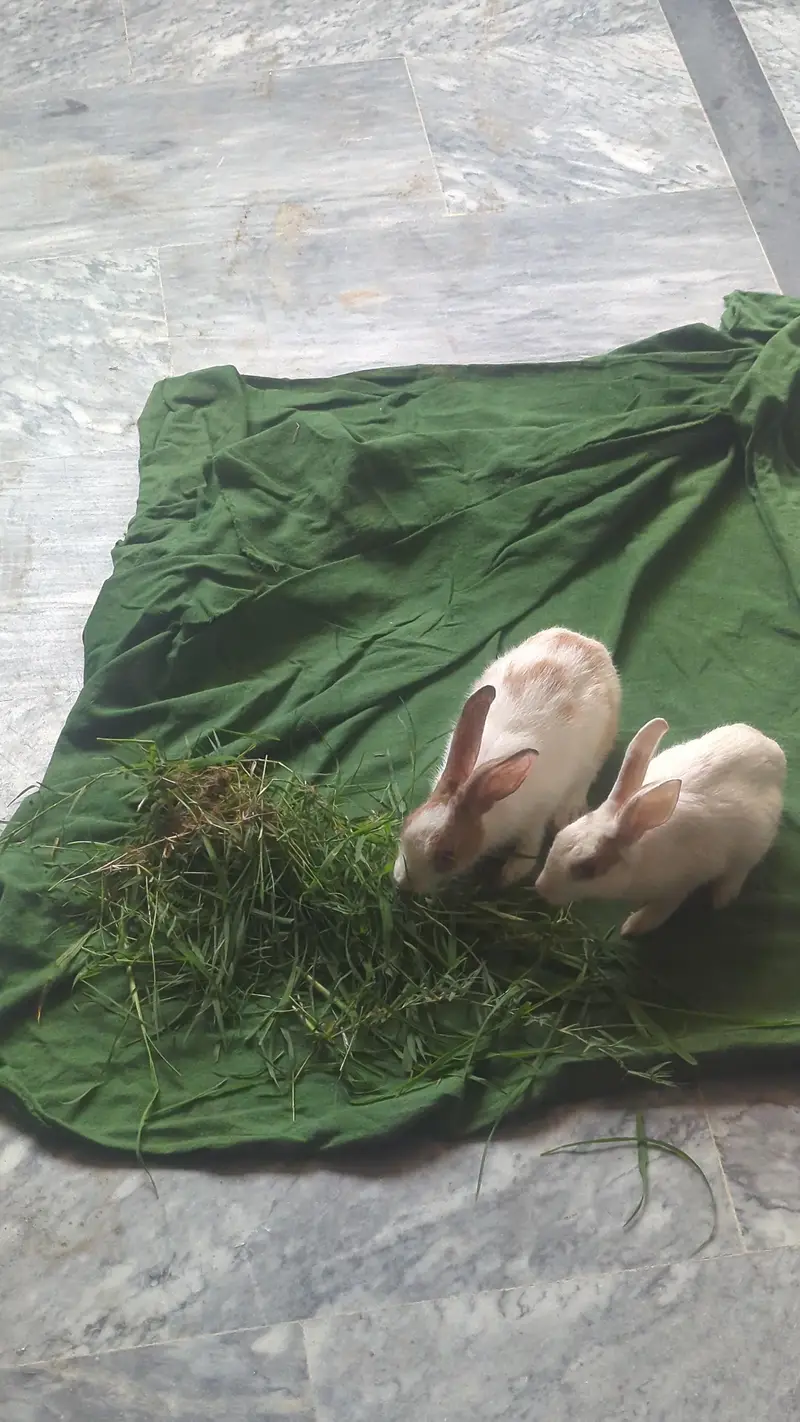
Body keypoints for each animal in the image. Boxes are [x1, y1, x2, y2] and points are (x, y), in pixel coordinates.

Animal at [393, 627, 621, 895]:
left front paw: (511, 874)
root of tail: (587, 643)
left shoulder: (536, 815)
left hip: (598, 747)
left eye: (447, 856)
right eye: (406, 824)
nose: (401, 882)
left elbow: (530, 843)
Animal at [535, 717, 786, 936]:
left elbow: (661, 909)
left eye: (587, 868)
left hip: (753, 843)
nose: (540, 888)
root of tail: (775, 751)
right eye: (558, 836)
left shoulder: (679, 886)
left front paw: (633, 927)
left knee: (739, 870)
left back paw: (722, 898)